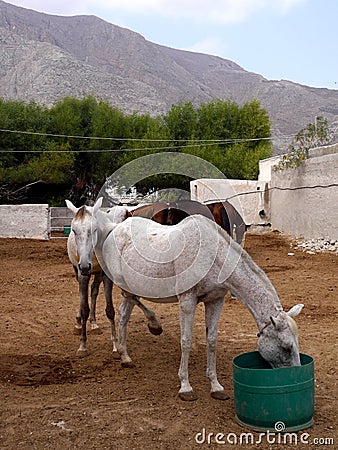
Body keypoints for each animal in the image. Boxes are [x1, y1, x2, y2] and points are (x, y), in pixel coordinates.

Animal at [65, 199, 162, 356]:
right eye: (74, 230)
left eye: (94, 229)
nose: (85, 266)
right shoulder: (82, 274)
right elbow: (84, 307)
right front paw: (82, 346)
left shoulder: (106, 276)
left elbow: (110, 310)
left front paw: (116, 346)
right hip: (78, 271)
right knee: (83, 296)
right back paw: (79, 323)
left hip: (98, 275)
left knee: (94, 291)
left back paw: (94, 323)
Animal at [94, 207, 304, 400]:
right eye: (286, 347)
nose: (295, 376)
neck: (213, 256)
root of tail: (115, 228)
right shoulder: (187, 301)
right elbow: (186, 341)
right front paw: (185, 387)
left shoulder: (215, 301)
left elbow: (211, 341)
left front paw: (215, 386)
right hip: (126, 287)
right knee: (126, 308)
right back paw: (148, 330)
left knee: (124, 314)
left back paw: (126, 356)